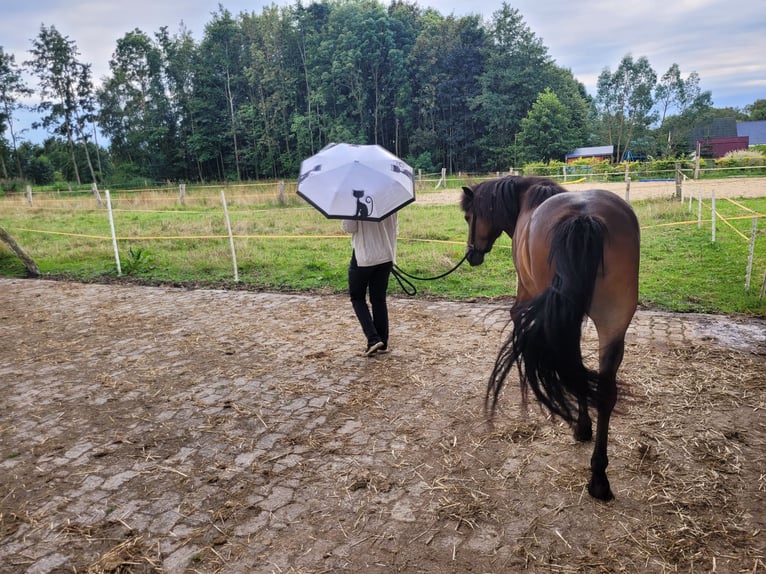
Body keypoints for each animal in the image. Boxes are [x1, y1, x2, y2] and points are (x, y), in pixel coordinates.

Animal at [462, 176, 640, 504]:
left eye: (470, 217)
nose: (472, 255)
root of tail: (584, 217)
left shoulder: (525, 296)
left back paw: (583, 436)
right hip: (613, 324)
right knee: (602, 388)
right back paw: (599, 476)